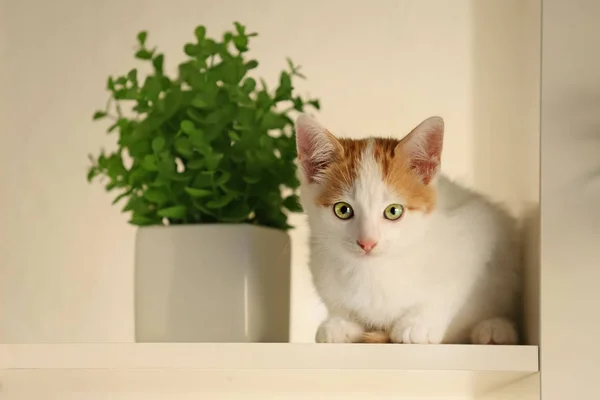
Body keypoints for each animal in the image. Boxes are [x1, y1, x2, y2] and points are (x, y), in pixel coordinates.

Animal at [294, 113, 520, 344]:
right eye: (342, 209)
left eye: (393, 211)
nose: (367, 242)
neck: (374, 270)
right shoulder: (319, 259)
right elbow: (335, 301)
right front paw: (340, 322)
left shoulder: (477, 226)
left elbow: (451, 288)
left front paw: (418, 323)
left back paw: (495, 328)